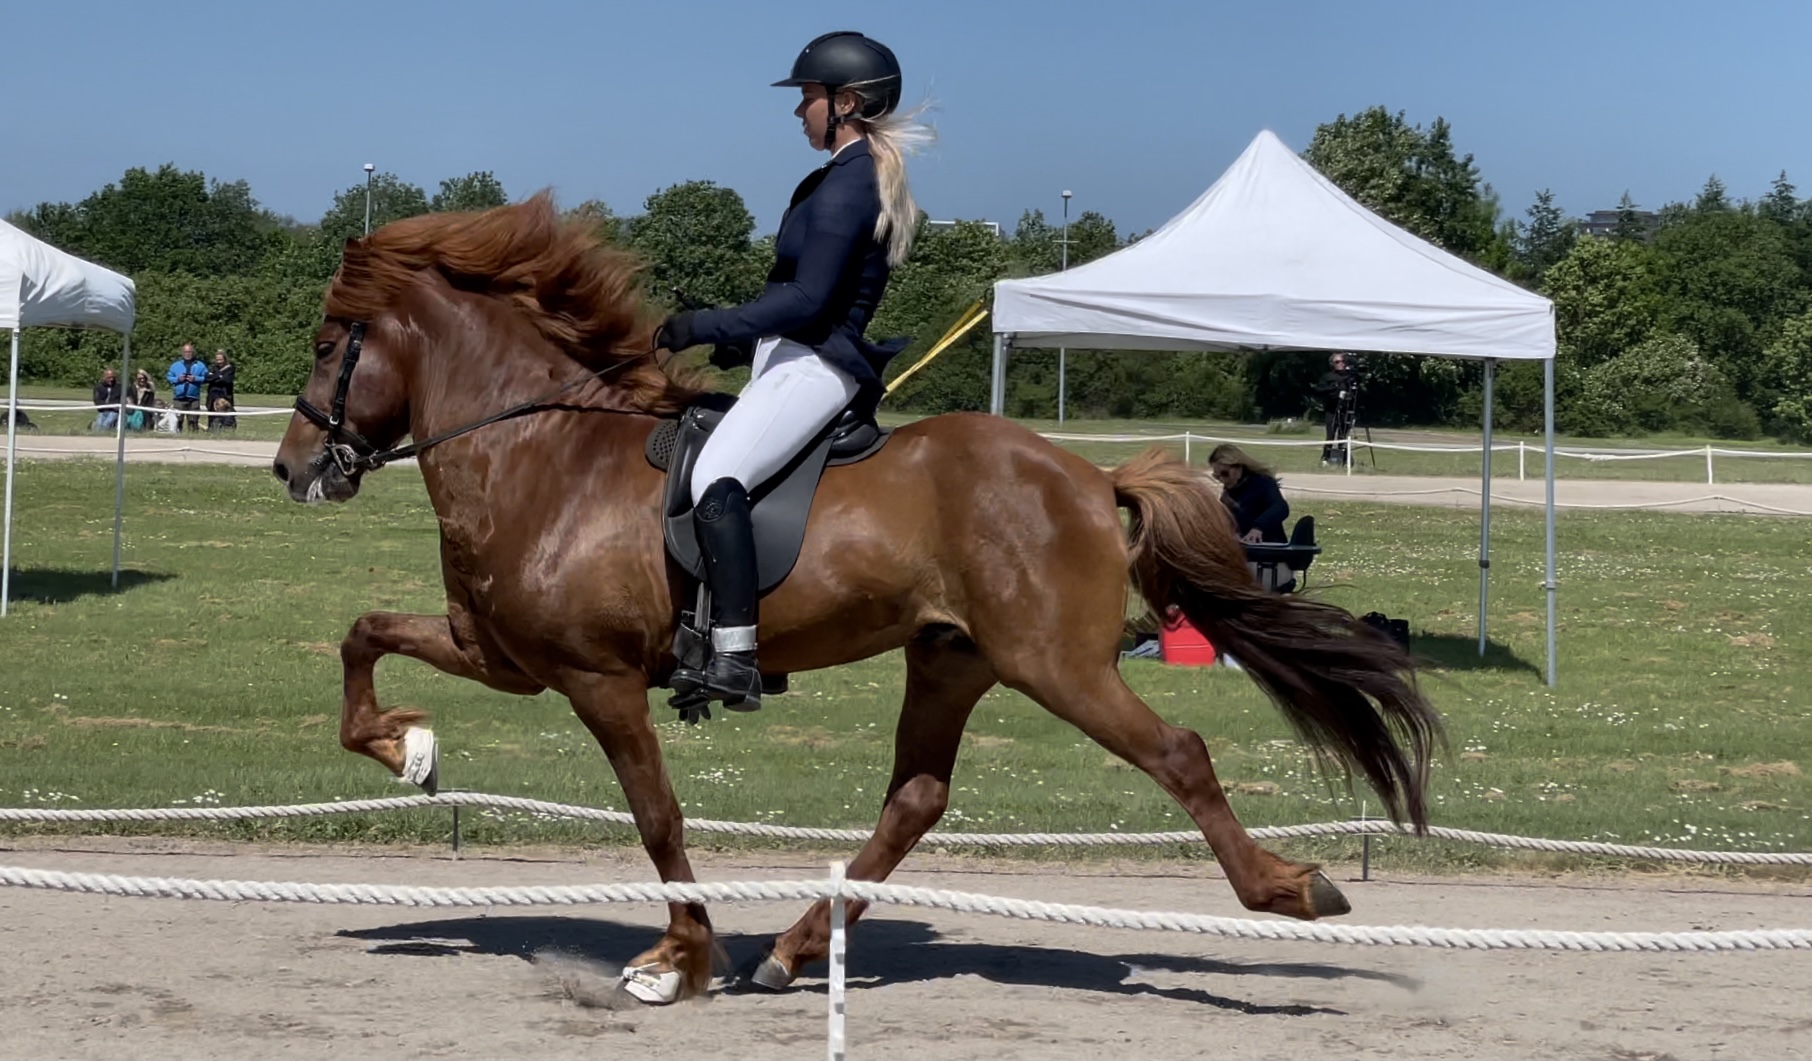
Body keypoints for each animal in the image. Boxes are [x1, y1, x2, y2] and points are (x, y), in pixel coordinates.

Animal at [271, 196, 1442, 999]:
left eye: (330, 346)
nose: (291, 469)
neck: (539, 454)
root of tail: (1085, 474)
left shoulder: (598, 678)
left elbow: (656, 814)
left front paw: (677, 957)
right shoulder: (507, 656)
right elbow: (362, 635)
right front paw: (409, 748)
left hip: (1058, 664)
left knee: (1178, 753)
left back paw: (1288, 887)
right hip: (953, 657)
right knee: (915, 797)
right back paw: (794, 949)